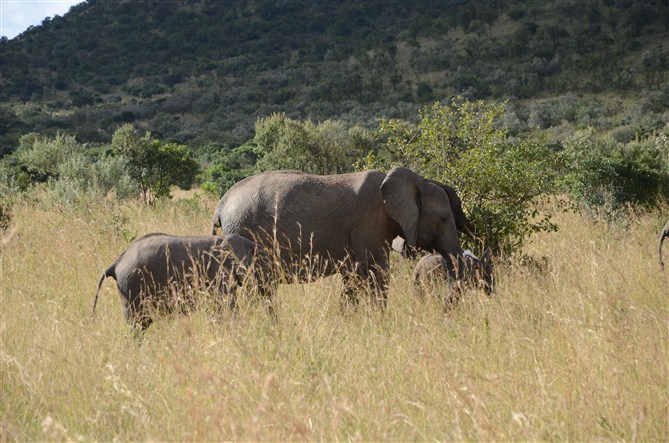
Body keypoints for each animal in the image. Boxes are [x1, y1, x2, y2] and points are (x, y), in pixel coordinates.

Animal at [92, 232, 270, 330]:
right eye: (261, 262)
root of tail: (117, 262)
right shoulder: (218, 273)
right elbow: (225, 306)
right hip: (133, 285)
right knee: (137, 323)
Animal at [213, 166, 464, 306]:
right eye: (443, 218)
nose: (445, 308)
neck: (416, 180)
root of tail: (221, 205)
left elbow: (352, 279)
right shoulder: (369, 223)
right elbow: (378, 274)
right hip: (244, 232)